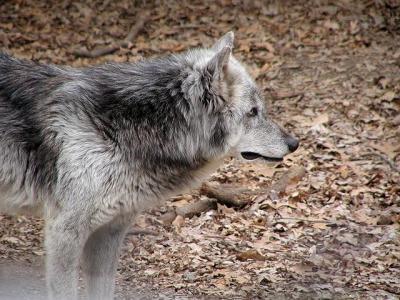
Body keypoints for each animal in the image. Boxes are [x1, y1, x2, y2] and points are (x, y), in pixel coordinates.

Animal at [0, 31, 298, 298]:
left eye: (260, 110)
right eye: (253, 112)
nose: (294, 143)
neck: (118, 131)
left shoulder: (110, 231)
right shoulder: (64, 233)